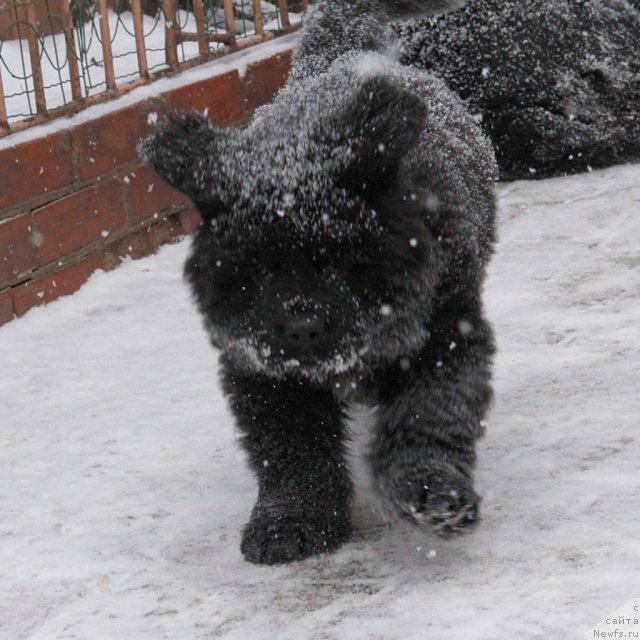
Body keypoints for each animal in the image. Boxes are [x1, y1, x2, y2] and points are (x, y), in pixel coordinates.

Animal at [141, 0, 500, 564]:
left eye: (340, 260)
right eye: (258, 270)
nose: (301, 326)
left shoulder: (446, 332)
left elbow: (427, 416)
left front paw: (431, 494)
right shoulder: (261, 364)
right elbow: (292, 446)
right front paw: (292, 520)